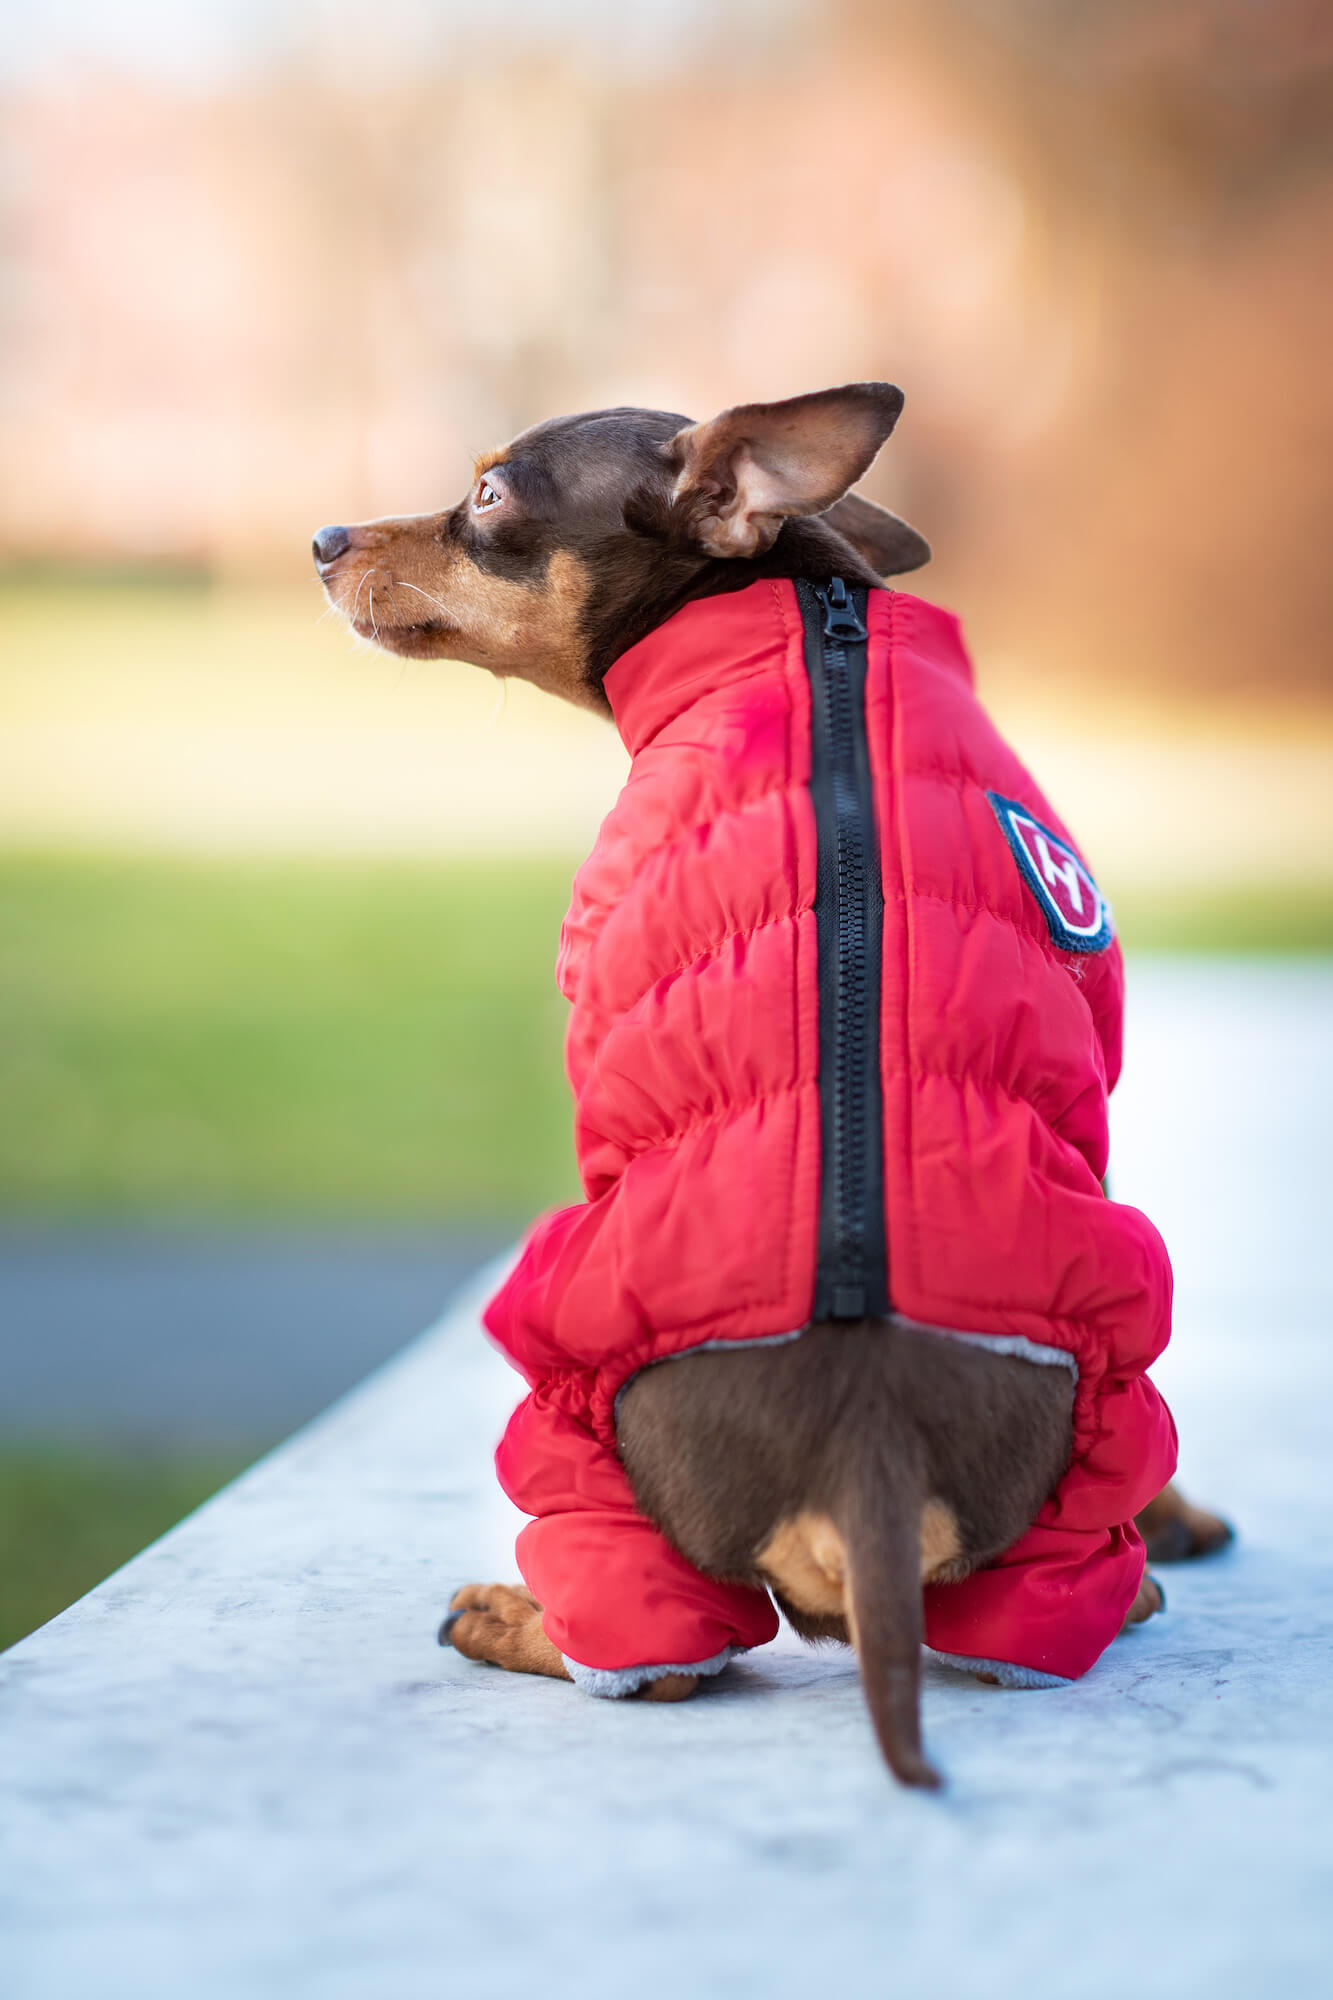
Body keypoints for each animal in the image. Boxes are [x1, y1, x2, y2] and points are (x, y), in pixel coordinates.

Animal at [314, 386, 1224, 1784]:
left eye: (489, 495)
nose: (321, 538)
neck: (810, 626)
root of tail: (870, 1458)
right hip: (1109, 1376)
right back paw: (1138, 1570)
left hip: (568, 1368)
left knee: (667, 1655)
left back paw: (512, 1614)